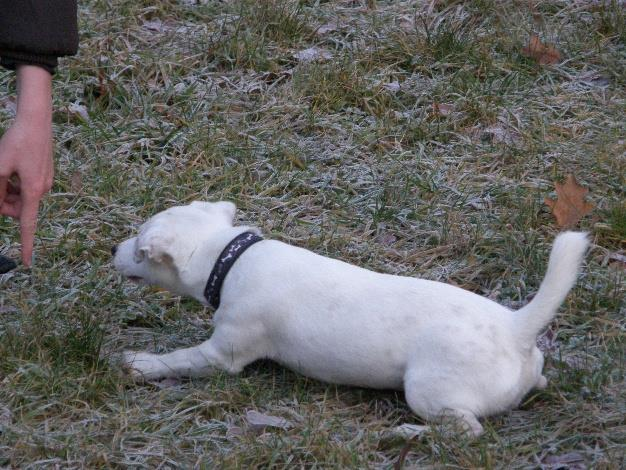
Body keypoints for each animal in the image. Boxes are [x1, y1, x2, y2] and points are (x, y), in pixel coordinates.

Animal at [114, 202, 588, 436]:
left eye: (138, 248)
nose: (110, 250)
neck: (230, 258)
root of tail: (515, 327)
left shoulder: (223, 354)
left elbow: (179, 358)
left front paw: (140, 363)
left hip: (428, 391)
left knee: (466, 431)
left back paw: (407, 434)